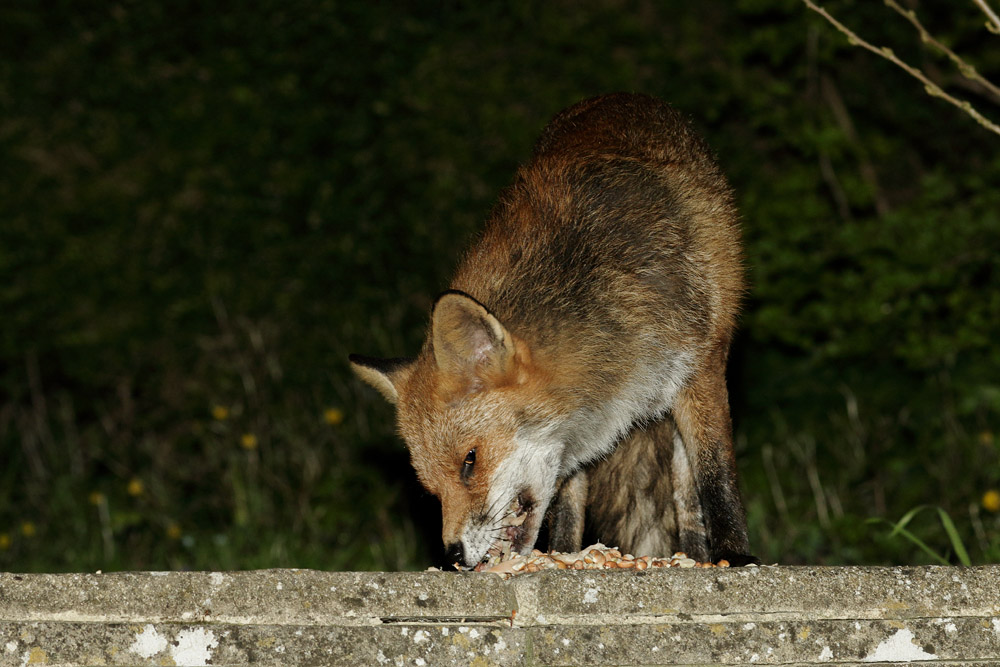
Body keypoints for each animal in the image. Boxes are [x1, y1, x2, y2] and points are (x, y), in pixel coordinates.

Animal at [350, 93, 756, 568]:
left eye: (470, 461)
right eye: (431, 487)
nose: (453, 554)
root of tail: (616, 96)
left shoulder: (700, 367)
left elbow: (716, 476)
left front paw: (734, 555)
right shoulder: (573, 443)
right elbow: (567, 503)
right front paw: (562, 555)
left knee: (688, 497)